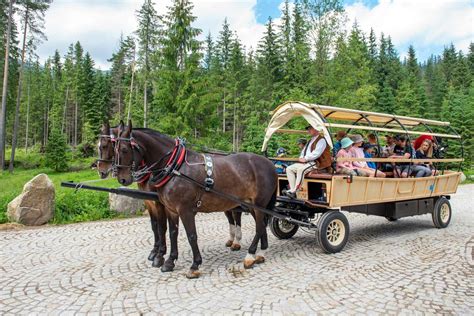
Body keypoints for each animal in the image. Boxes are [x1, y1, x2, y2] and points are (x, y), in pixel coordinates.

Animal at [115, 121, 278, 278]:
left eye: (124, 149)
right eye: (115, 148)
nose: (122, 179)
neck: (176, 168)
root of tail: (269, 163)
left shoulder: (185, 210)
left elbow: (191, 235)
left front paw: (194, 266)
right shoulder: (171, 209)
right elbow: (173, 233)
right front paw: (170, 262)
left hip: (259, 204)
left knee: (259, 227)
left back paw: (250, 256)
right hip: (252, 205)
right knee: (261, 225)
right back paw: (261, 254)